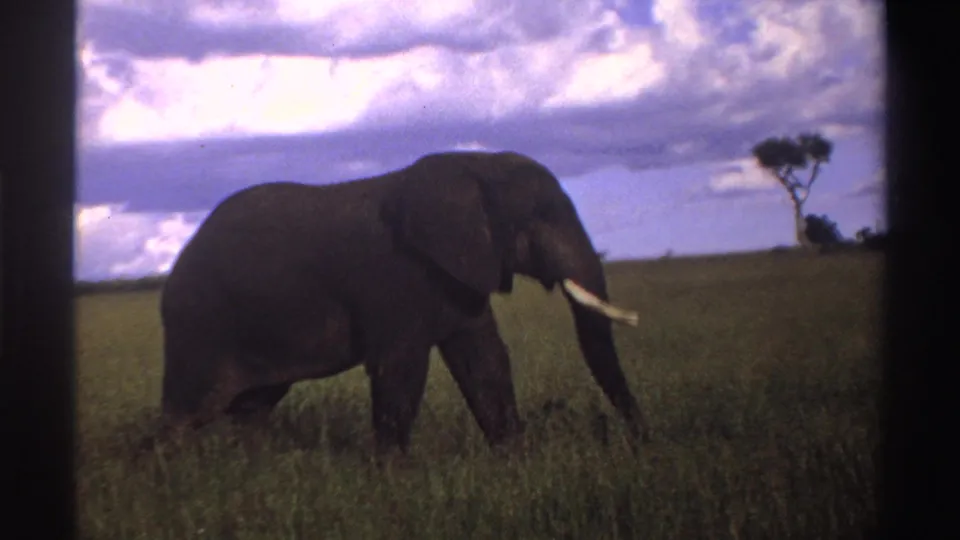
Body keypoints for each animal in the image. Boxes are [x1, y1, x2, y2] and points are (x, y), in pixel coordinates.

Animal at [157, 150, 649, 455]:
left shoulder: (459, 275)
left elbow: (485, 361)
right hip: (200, 323)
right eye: (541, 217)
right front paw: (393, 477)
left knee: (252, 405)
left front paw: (516, 460)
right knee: (188, 411)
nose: (640, 441)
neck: (473, 164)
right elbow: (402, 369)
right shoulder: (395, 276)